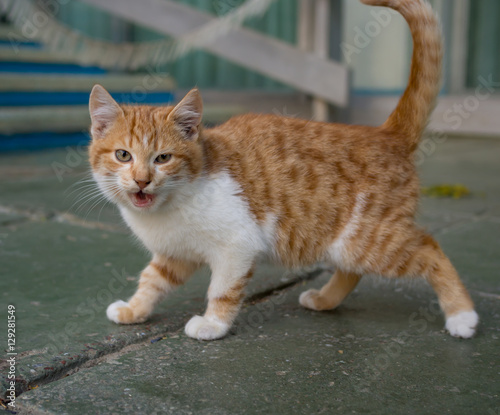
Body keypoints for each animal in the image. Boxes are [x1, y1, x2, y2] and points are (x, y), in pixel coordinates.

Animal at [88, 0, 478, 342]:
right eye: (123, 155)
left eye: (163, 158)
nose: (141, 180)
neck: (169, 208)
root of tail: (386, 133)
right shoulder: (175, 254)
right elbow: (152, 280)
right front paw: (134, 309)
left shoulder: (237, 246)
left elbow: (222, 290)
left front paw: (213, 325)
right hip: (349, 244)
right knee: (352, 272)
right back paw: (324, 299)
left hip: (371, 239)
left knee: (430, 250)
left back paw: (462, 315)